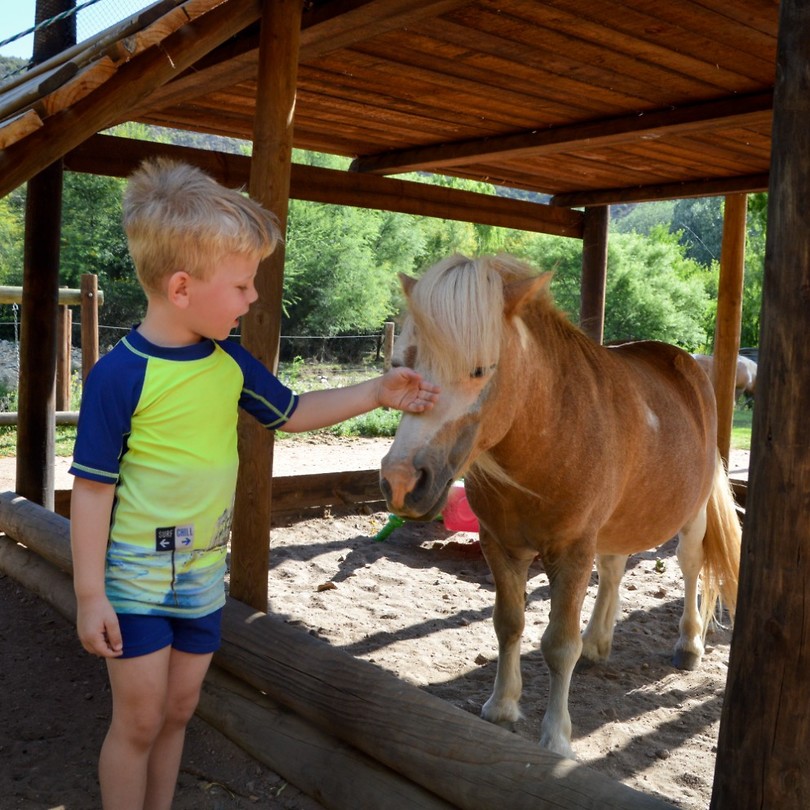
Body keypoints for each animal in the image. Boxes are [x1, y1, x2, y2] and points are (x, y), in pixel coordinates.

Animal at [380, 254, 741, 759]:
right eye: (400, 366)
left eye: (479, 370)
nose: (400, 482)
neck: (551, 436)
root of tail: (686, 364)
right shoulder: (501, 546)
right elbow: (508, 624)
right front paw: (501, 706)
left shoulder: (571, 552)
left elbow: (558, 645)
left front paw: (555, 738)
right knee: (613, 568)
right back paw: (598, 642)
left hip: (691, 515)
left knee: (689, 566)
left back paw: (689, 644)